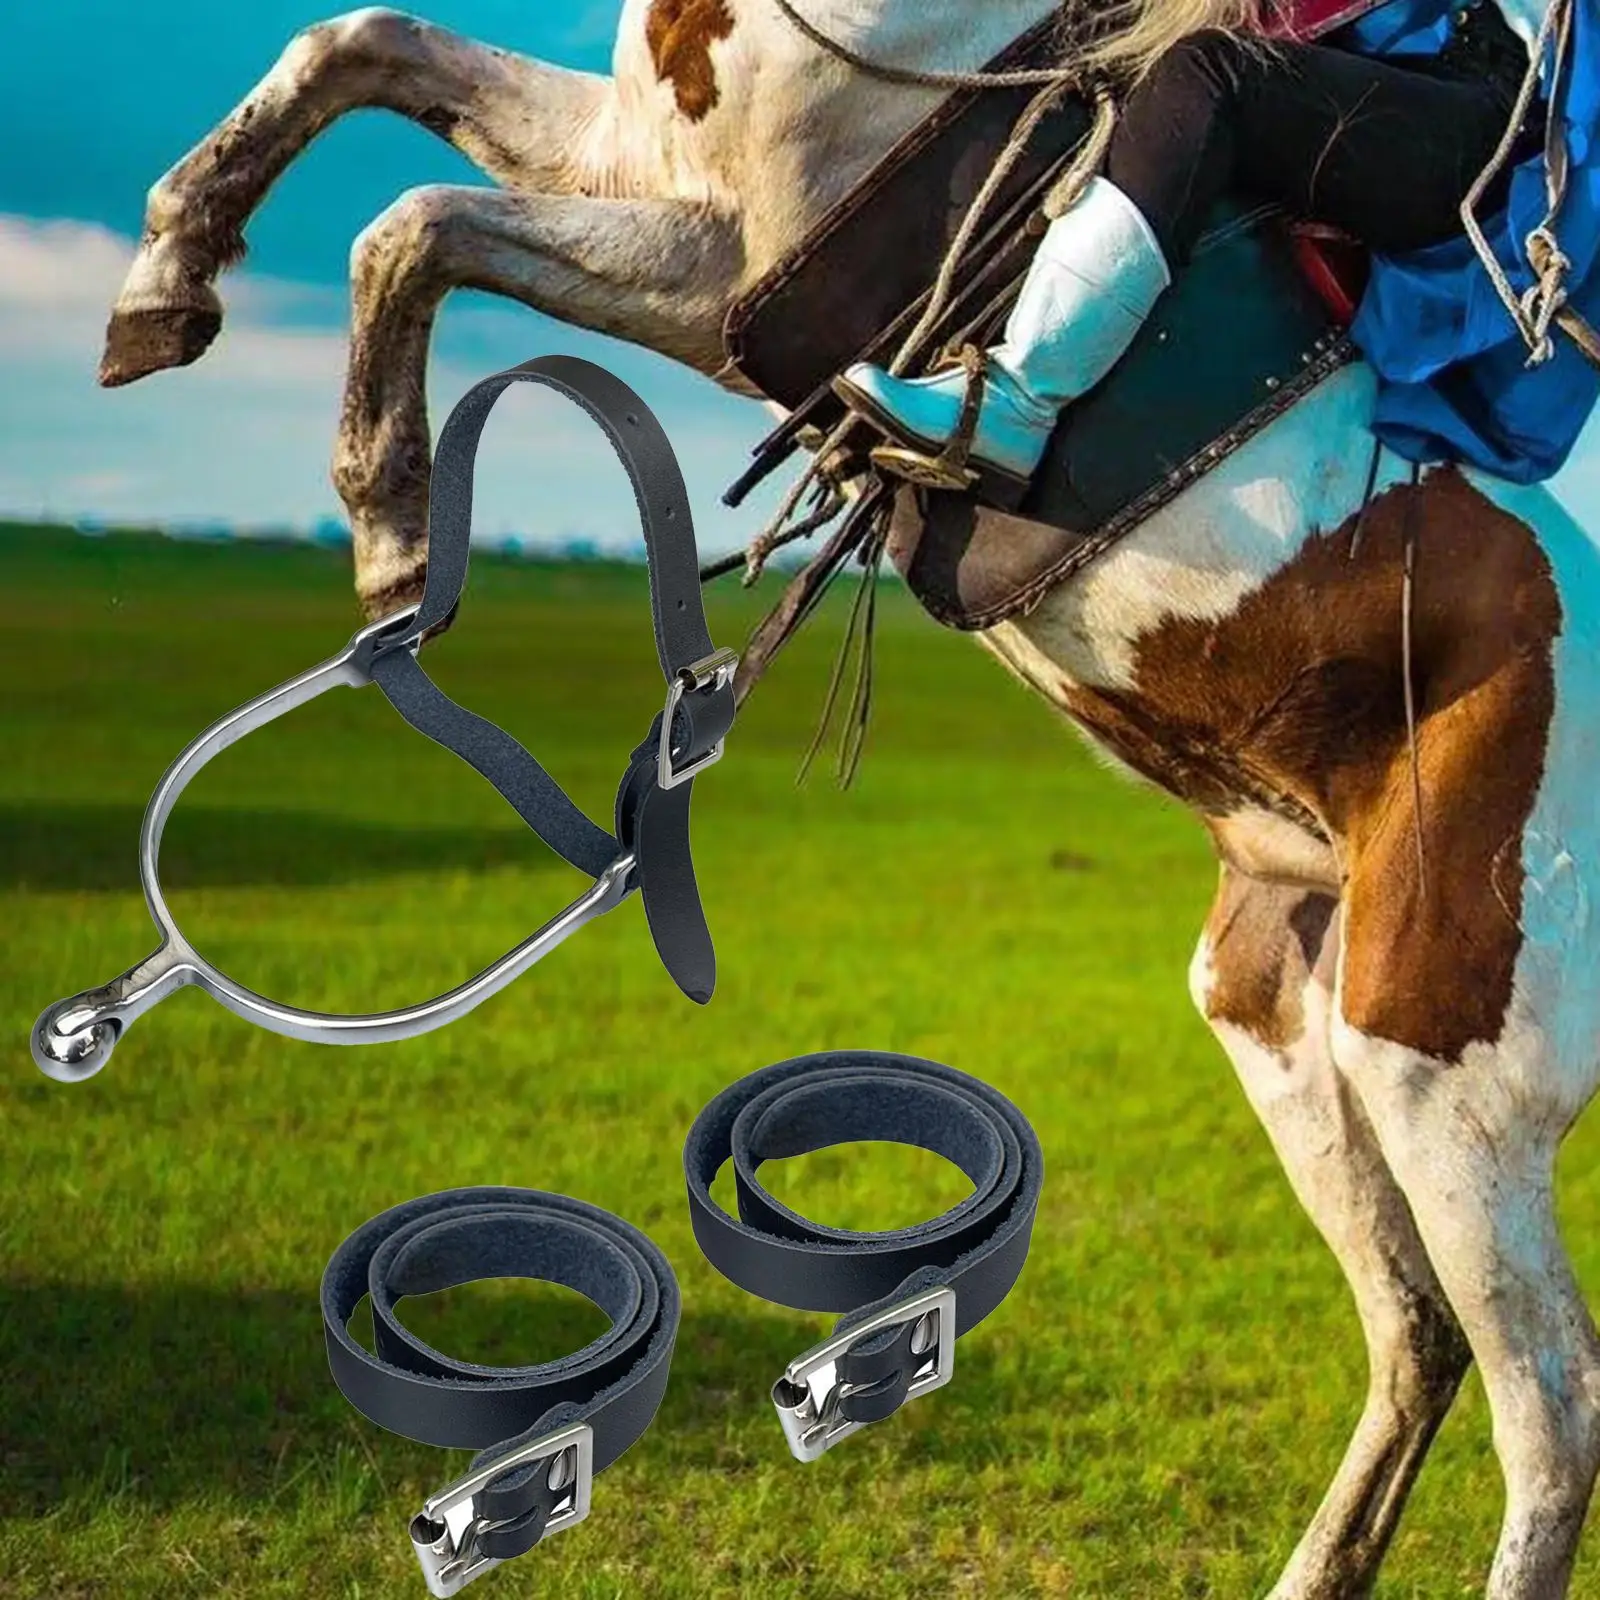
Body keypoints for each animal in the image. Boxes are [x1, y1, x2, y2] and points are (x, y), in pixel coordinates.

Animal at [99, 4, 1600, 1595]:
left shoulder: (726, 264)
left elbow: (417, 222)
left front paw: (387, 520)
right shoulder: (636, 159)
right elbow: (364, 60)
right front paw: (169, 285)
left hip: (1442, 1065)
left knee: (1550, 1411)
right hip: (1281, 1013)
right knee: (1416, 1338)